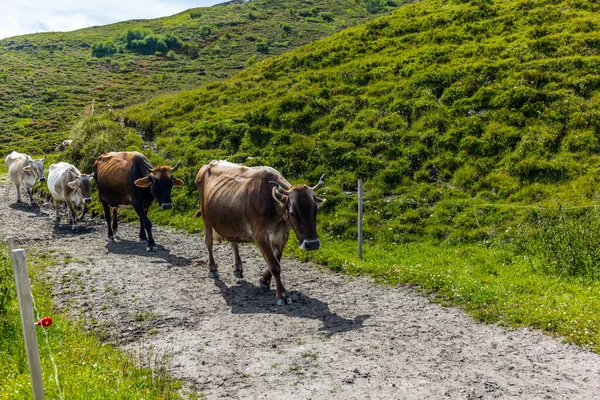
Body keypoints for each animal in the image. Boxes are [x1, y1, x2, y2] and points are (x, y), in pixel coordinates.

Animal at [196, 161, 326, 304]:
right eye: (292, 213)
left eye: (316, 211)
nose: (312, 244)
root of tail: (208, 164)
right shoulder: (260, 235)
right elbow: (274, 264)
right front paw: (282, 295)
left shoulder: (282, 236)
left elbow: (276, 260)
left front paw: (264, 280)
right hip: (206, 217)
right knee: (208, 242)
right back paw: (212, 269)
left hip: (230, 220)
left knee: (233, 240)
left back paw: (238, 268)